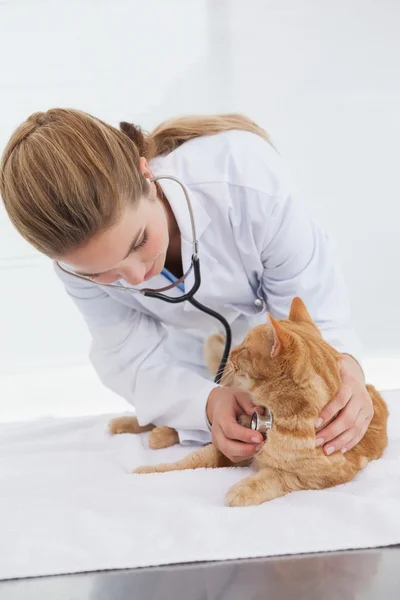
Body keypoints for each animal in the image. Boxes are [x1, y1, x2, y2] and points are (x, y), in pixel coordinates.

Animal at [109, 296, 388, 506]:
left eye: (244, 348)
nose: (231, 351)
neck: (278, 420)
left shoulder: (322, 477)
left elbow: (278, 478)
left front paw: (243, 489)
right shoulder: (228, 445)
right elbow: (188, 462)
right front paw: (148, 471)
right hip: (224, 387)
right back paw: (133, 427)